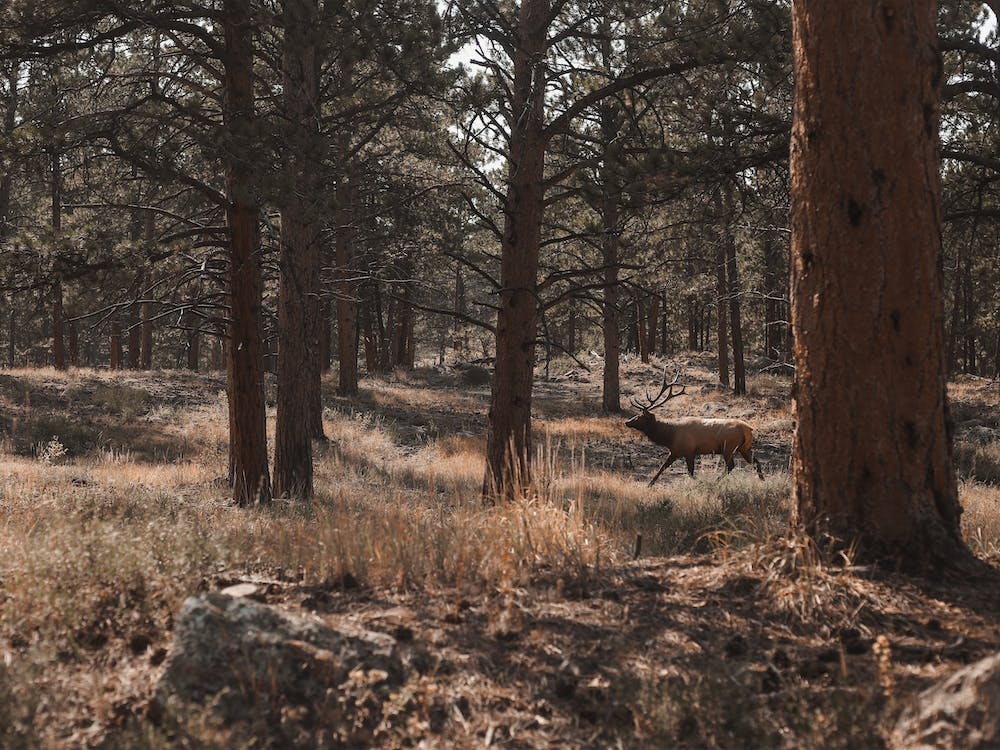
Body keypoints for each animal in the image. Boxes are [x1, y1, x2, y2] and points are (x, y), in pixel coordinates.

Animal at [625, 370, 765, 486]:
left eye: (639, 416)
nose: (627, 422)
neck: (669, 436)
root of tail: (748, 429)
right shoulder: (674, 452)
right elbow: (661, 468)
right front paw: (649, 485)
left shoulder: (689, 451)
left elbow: (690, 473)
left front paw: (701, 483)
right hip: (744, 448)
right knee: (756, 462)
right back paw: (763, 481)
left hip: (729, 447)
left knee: (731, 466)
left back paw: (715, 481)